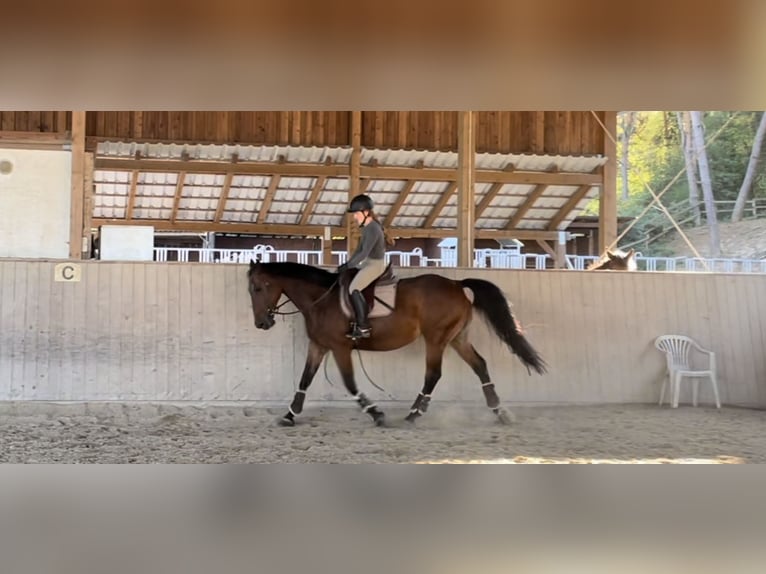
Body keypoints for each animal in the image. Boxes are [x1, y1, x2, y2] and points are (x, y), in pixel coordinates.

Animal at [249, 260, 548, 428]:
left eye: (257, 288)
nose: (262, 323)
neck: (321, 300)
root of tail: (456, 284)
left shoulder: (340, 347)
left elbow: (350, 384)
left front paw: (376, 414)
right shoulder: (319, 346)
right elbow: (304, 380)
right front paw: (289, 415)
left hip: (436, 338)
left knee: (433, 374)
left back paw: (415, 413)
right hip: (456, 338)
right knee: (480, 365)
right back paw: (499, 412)